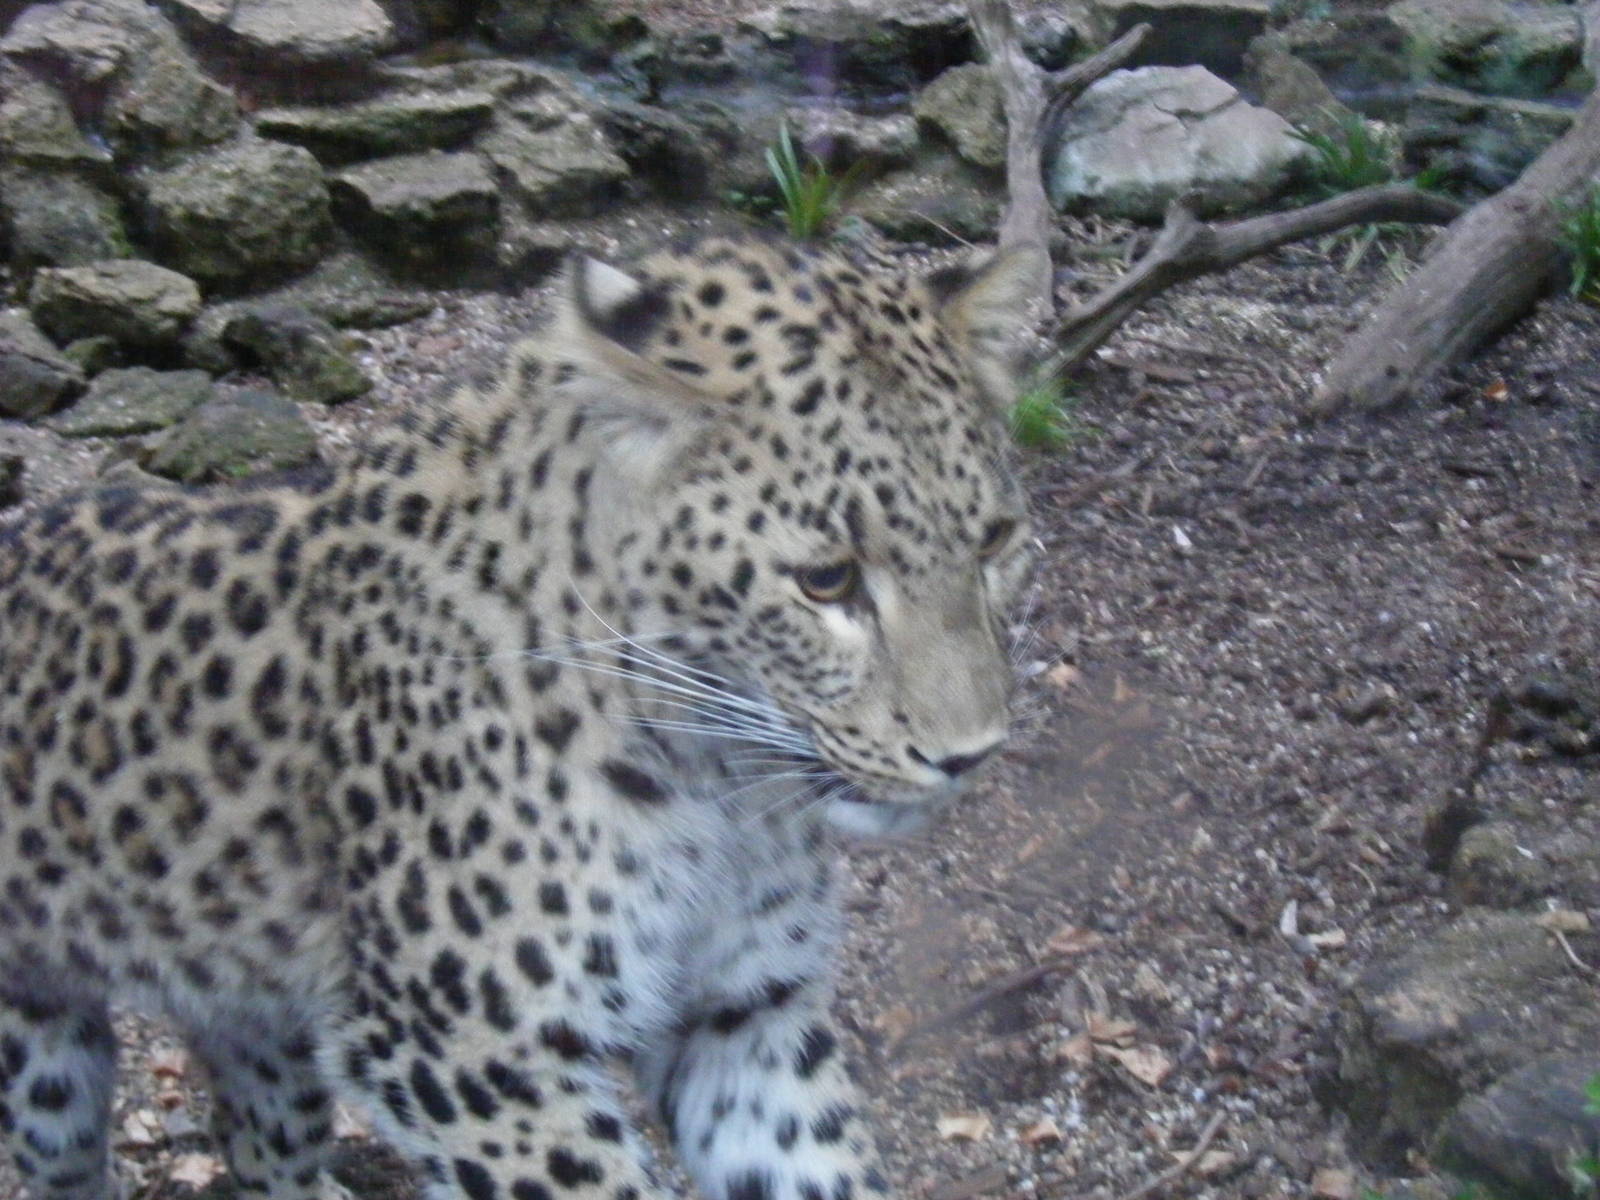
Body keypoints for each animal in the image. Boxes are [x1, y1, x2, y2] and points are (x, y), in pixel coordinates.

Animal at [0, 233, 1039, 1200]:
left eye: (995, 540)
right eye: (826, 579)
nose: (970, 755)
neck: (716, 783)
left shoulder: (744, 1016)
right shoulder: (465, 1054)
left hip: (258, 1018)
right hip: (42, 1057)